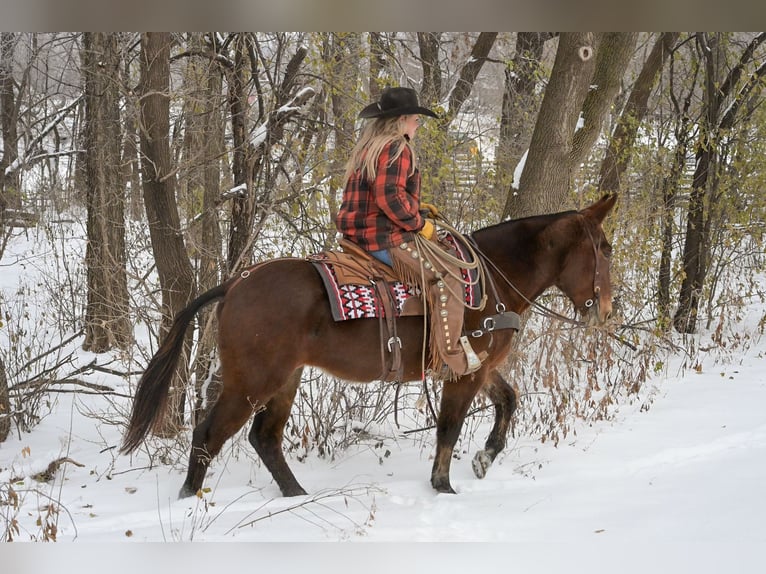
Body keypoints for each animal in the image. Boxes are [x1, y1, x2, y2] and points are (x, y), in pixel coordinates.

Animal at [121, 193, 617, 497]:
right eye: (605, 248)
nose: (606, 310)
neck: (489, 278)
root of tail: (234, 284)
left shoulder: (480, 366)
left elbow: (508, 402)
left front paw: (483, 459)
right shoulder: (463, 371)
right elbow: (449, 427)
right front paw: (443, 486)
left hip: (285, 378)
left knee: (265, 438)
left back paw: (295, 495)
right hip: (252, 381)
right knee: (209, 435)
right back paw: (191, 497)